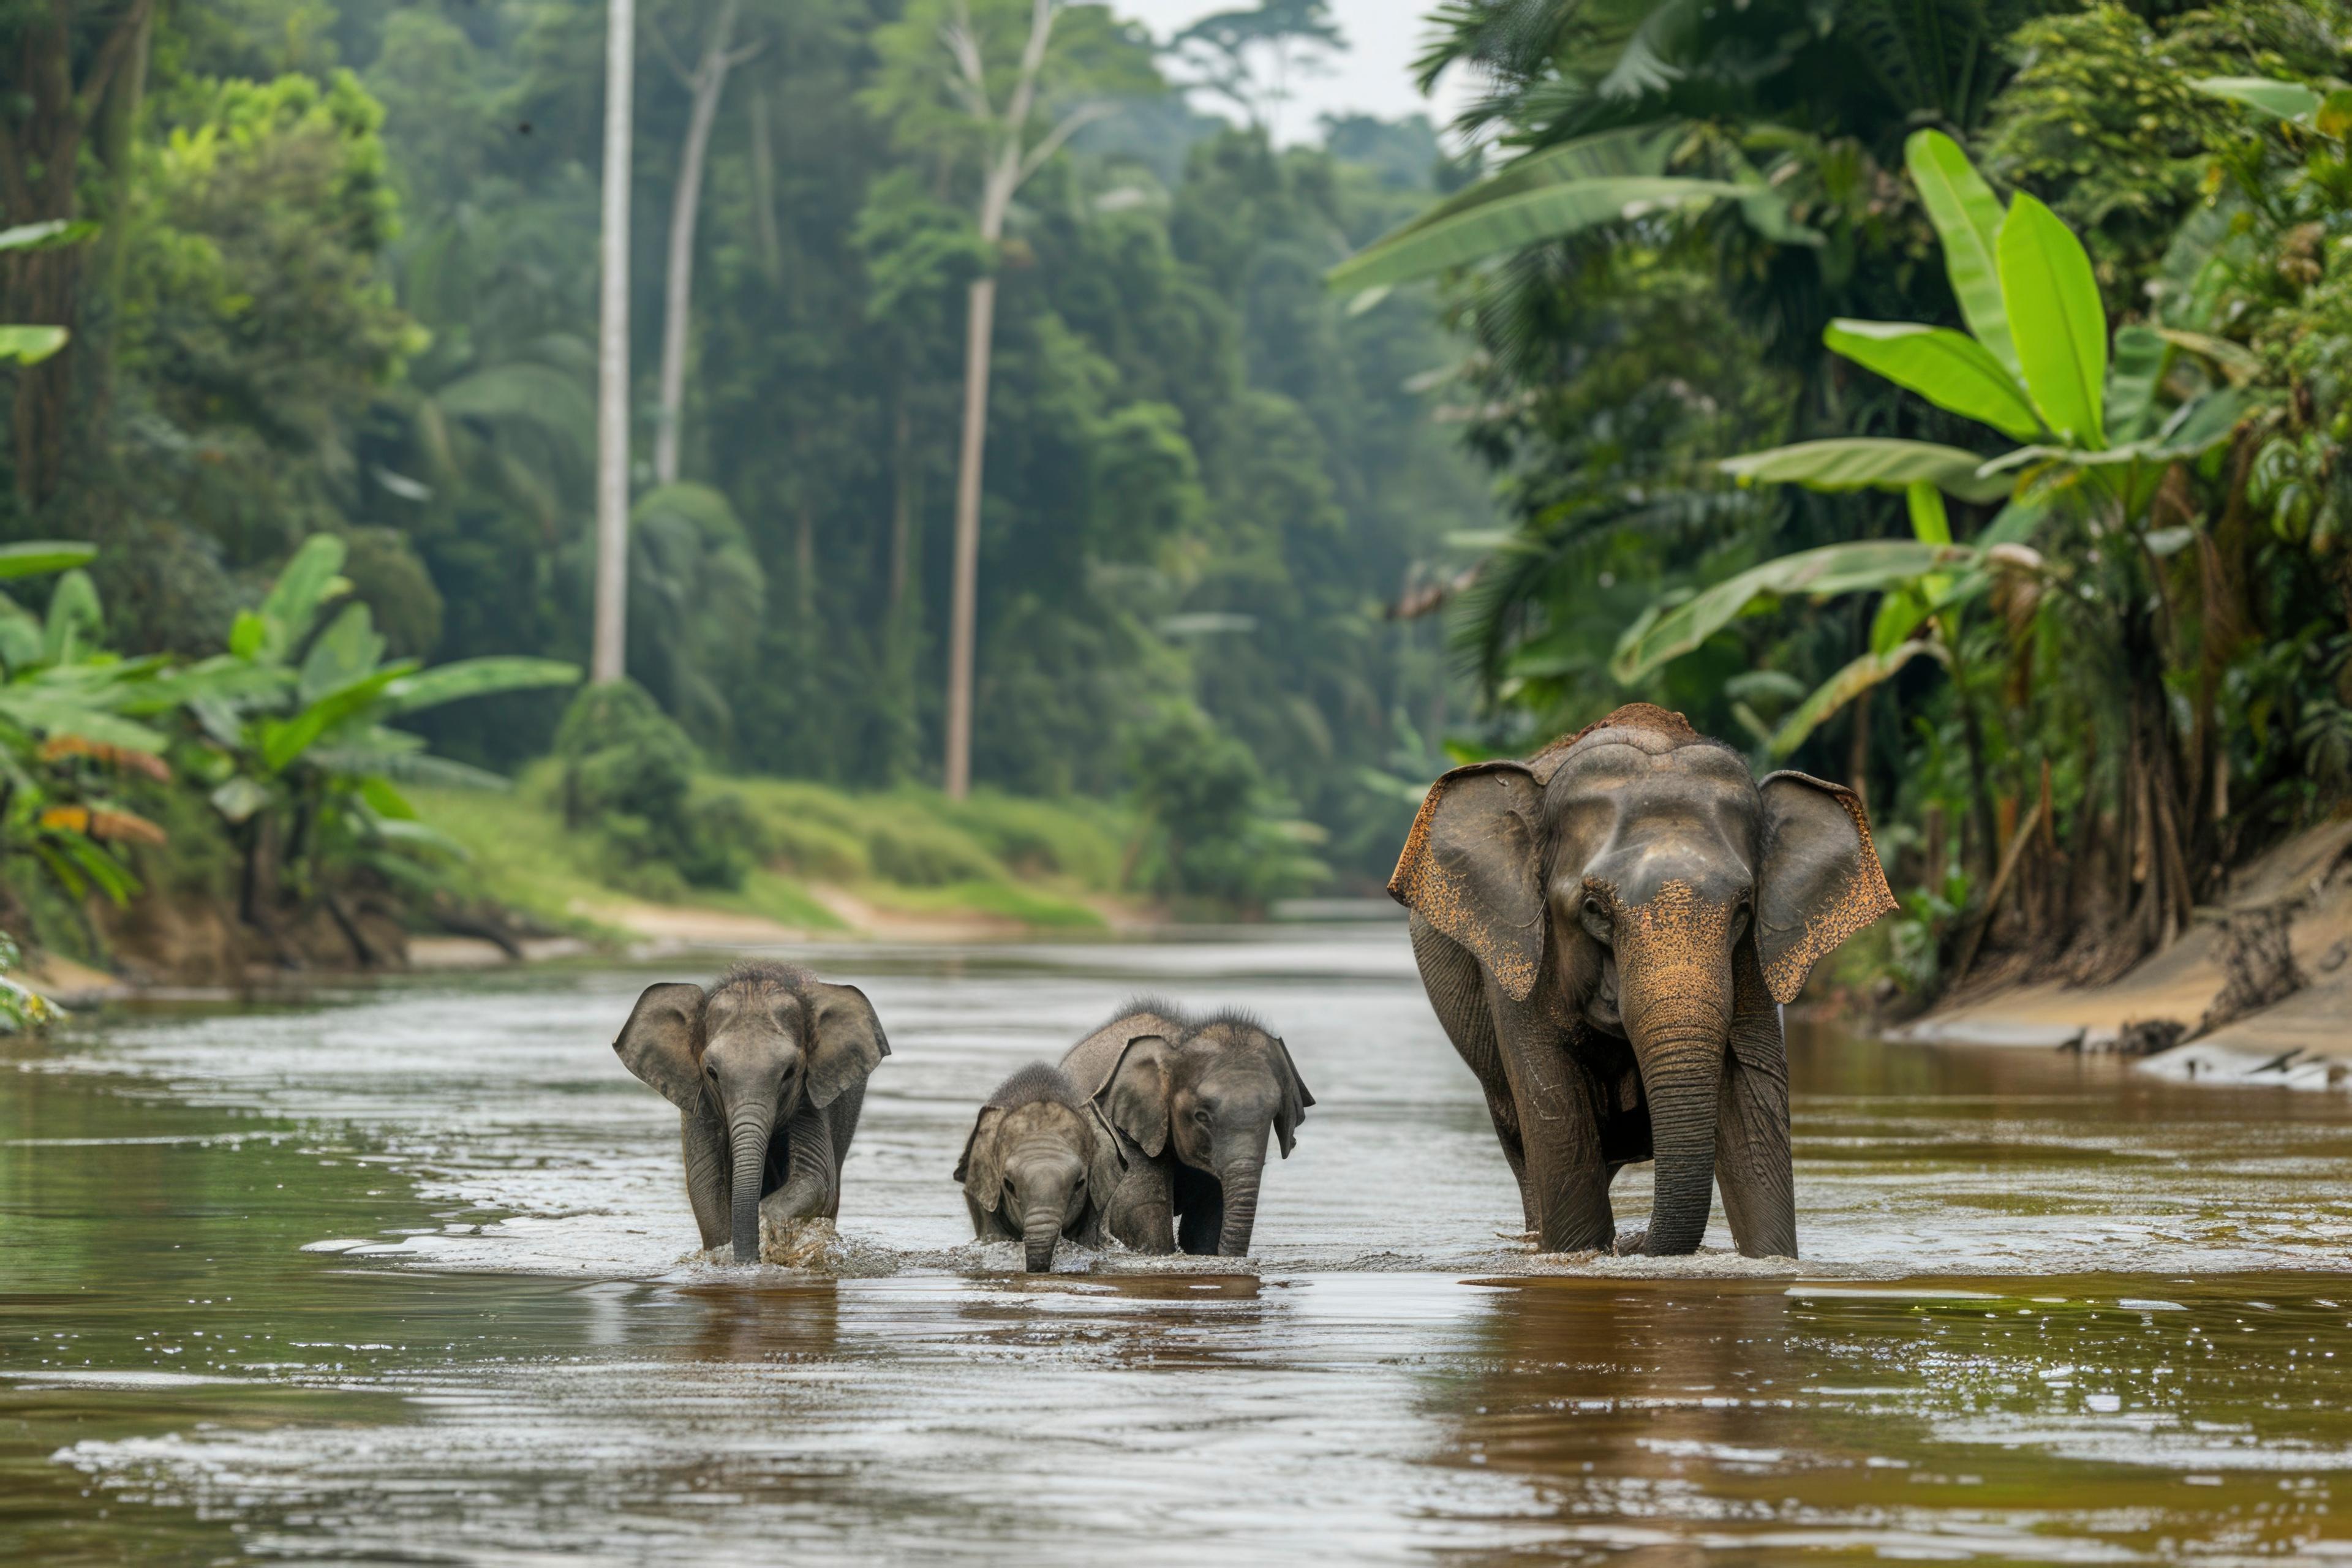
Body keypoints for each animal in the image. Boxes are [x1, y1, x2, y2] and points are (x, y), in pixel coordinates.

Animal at [610, 960, 890, 1263]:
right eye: (712, 1073)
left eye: (790, 1072)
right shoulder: (700, 1101)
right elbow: (705, 1186)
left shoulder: (811, 1095)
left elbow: (816, 1178)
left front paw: (767, 1230)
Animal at [1388, 702, 1895, 1259]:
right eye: (1594, 909)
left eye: (1743, 910)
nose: (1632, 1242)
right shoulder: (1517, 958)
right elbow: (1555, 1114)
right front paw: (1587, 1251)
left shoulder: (1755, 961)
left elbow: (1752, 1103)